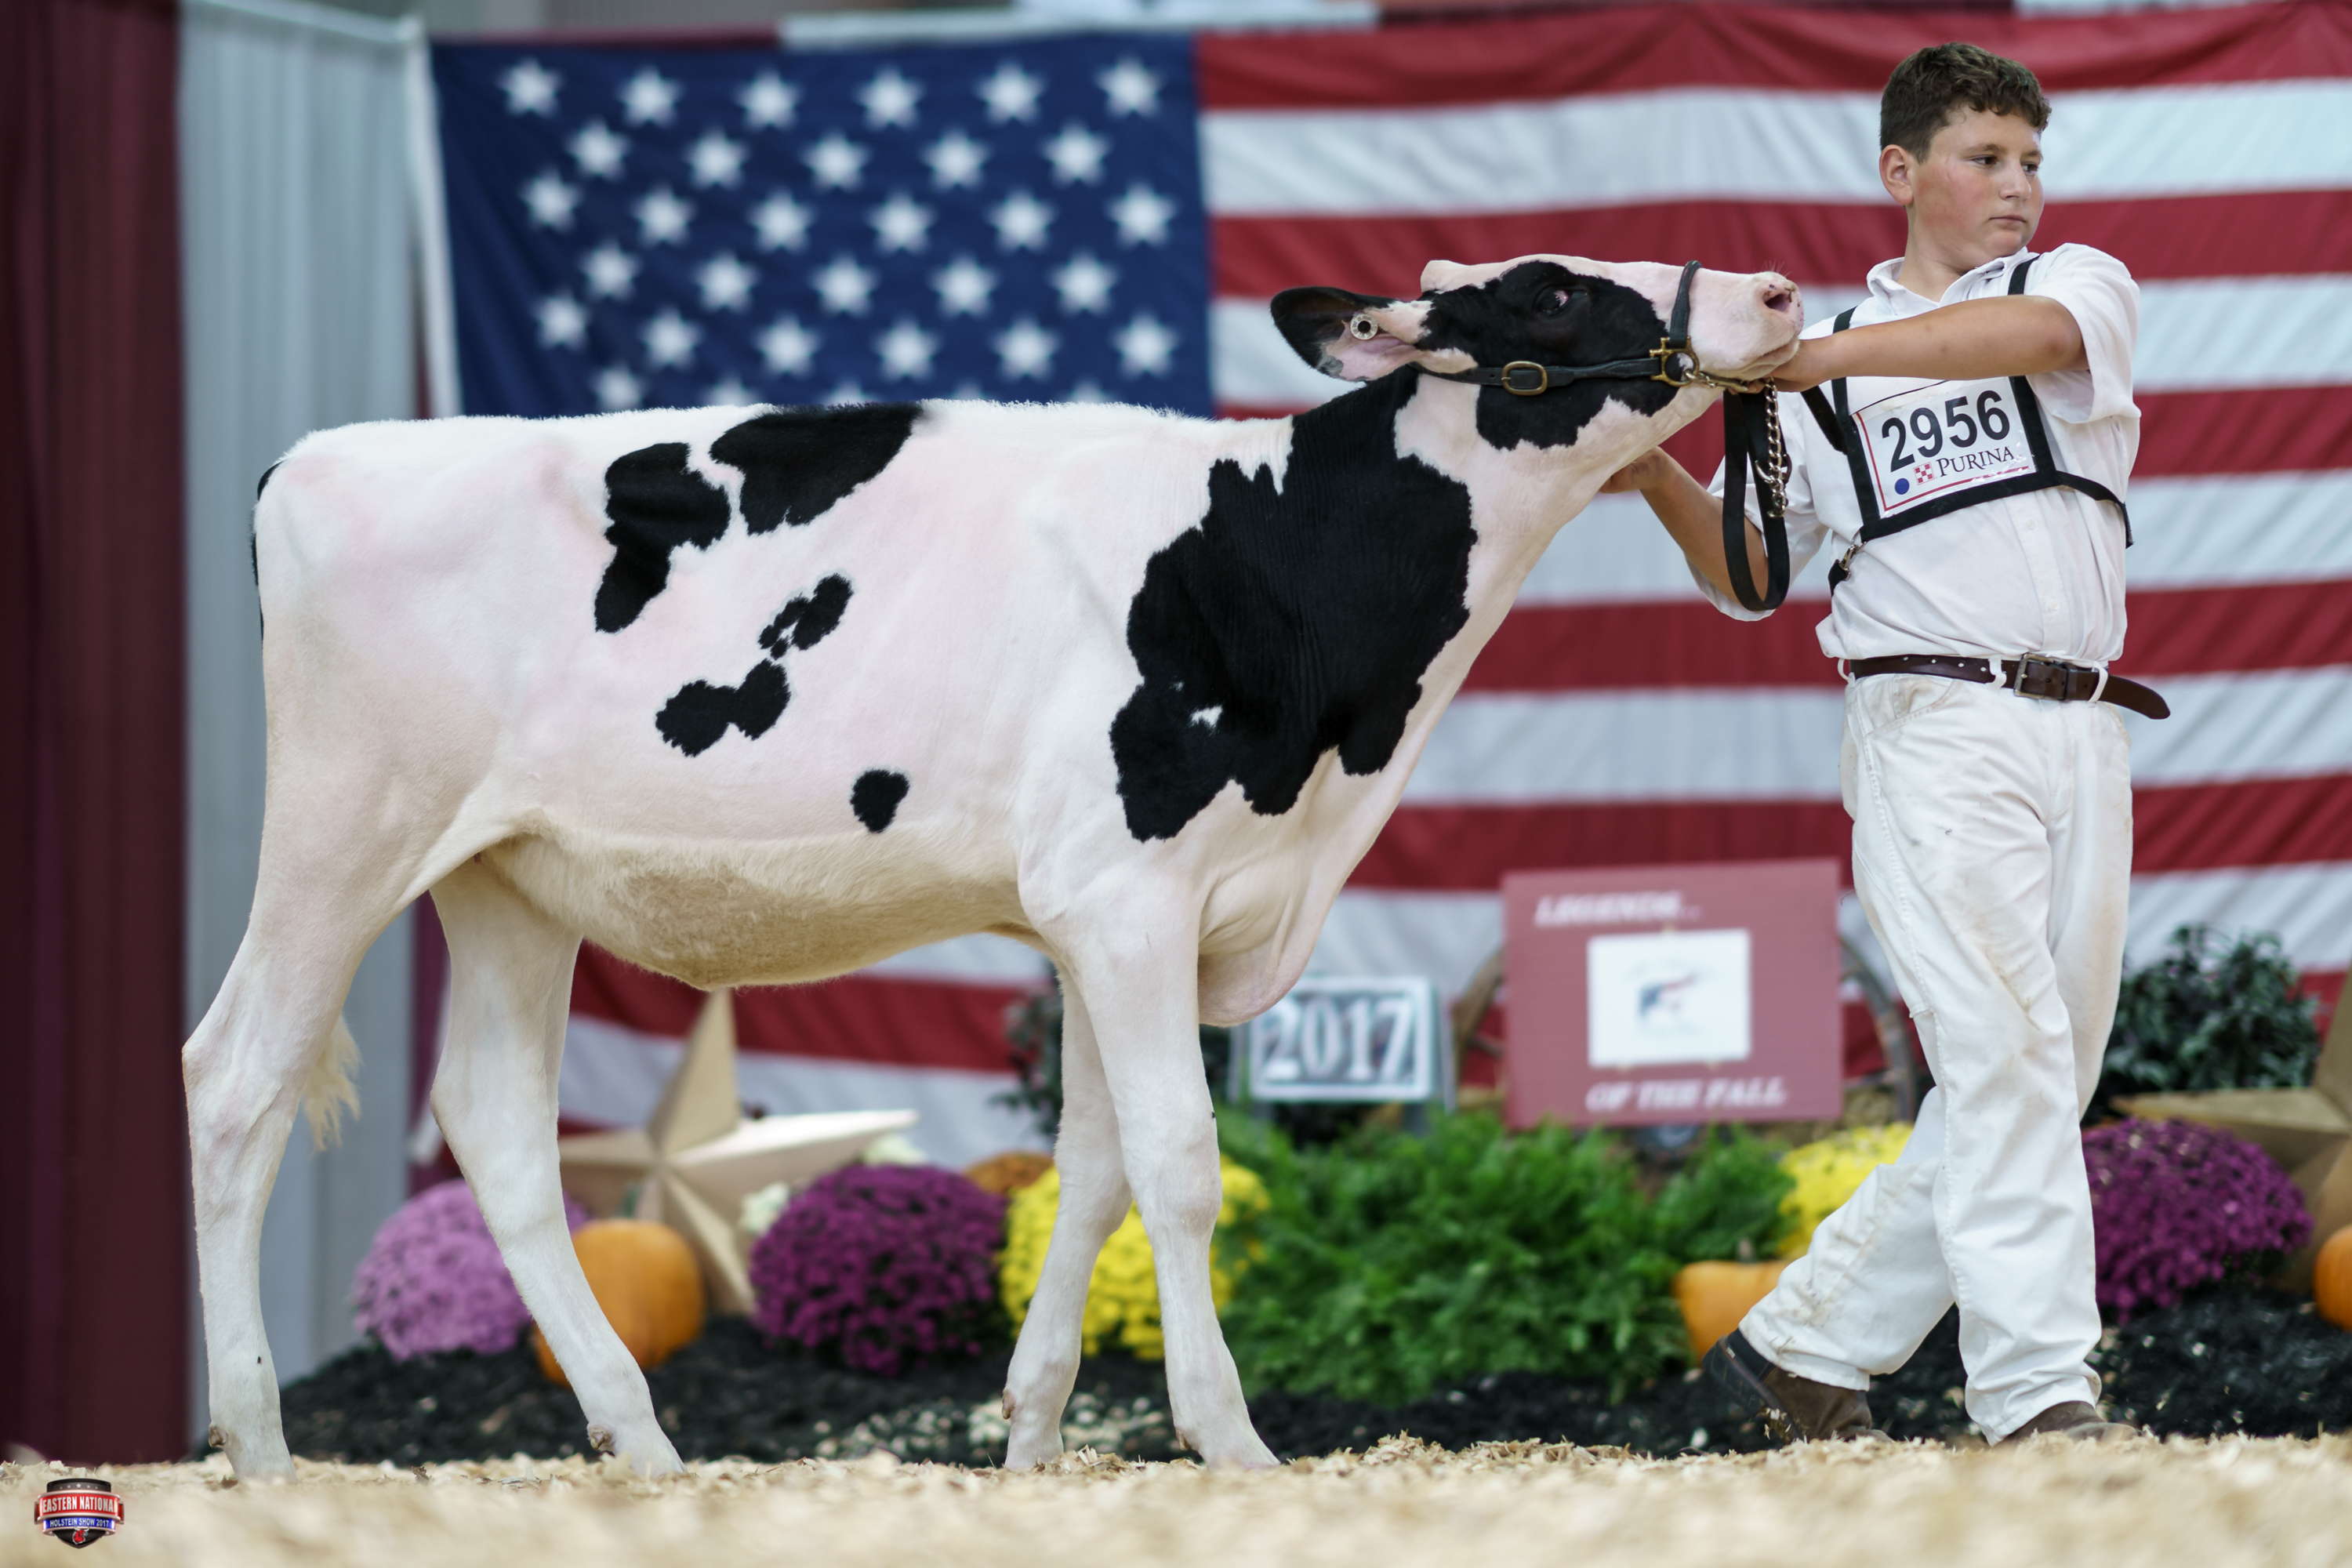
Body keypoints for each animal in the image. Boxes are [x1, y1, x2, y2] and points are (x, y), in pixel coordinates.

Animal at [184, 253, 1800, 1481]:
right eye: (1553, 294)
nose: (1778, 290)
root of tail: (318, 455)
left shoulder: (1104, 918)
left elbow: (1089, 1172)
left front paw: (1029, 1439)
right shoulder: (1131, 897)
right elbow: (1181, 1165)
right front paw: (1232, 1443)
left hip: (509, 876)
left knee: (499, 1124)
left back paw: (641, 1448)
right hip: (342, 833)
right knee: (236, 1078)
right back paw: (259, 1451)